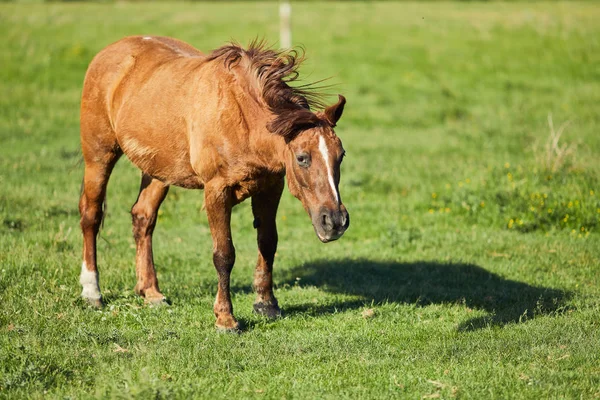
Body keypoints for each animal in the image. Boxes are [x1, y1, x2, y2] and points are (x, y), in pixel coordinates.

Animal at [81, 36, 352, 332]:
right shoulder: (217, 190)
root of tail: (111, 50)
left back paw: (151, 292)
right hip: (99, 156)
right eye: (302, 158)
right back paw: (91, 291)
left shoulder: (271, 187)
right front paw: (225, 318)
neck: (240, 118)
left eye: (341, 155)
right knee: (91, 215)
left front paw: (266, 304)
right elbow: (224, 254)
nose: (335, 221)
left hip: (158, 169)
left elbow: (268, 242)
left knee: (143, 216)